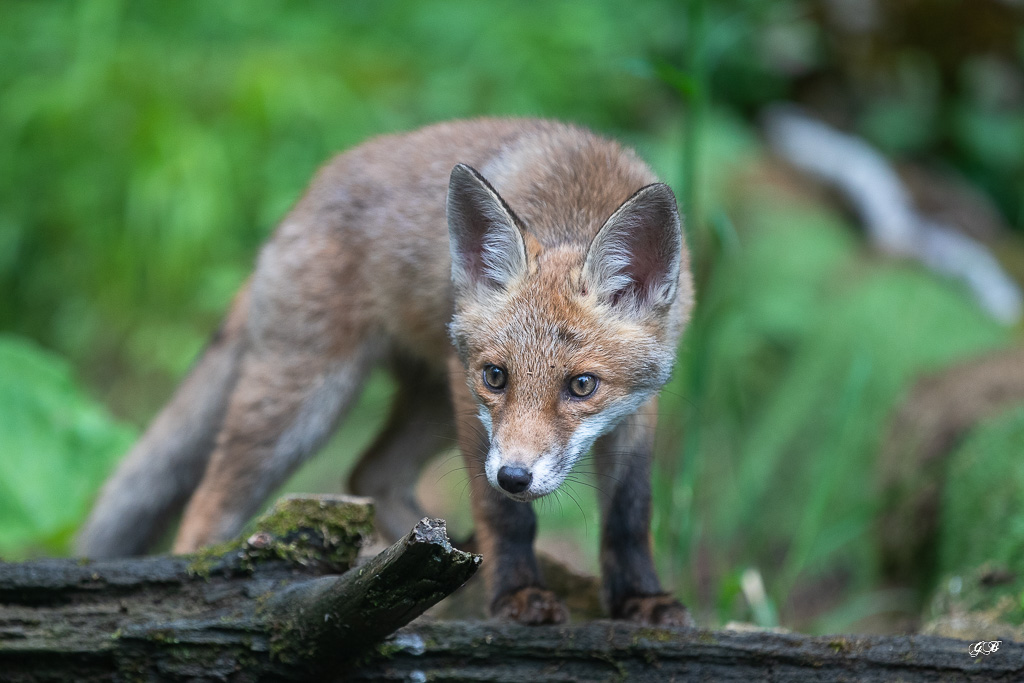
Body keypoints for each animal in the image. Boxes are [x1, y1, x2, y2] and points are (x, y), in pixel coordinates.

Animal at [77, 117, 696, 626]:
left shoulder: (640, 405)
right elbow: (504, 516)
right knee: (209, 505)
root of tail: (299, 202)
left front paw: (642, 600)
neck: (577, 199)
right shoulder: (468, 395)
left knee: (370, 473)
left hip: (426, 403)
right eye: (496, 377)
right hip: (307, 403)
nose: (515, 476)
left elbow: (629, 513)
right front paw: (516, 596)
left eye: (581, 386)